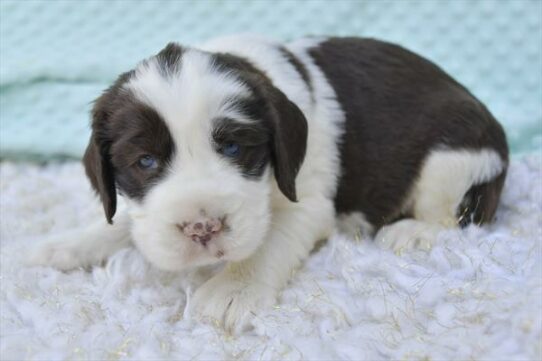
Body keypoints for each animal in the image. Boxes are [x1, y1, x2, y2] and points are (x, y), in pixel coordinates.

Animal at [28, 35, 510, 332]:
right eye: (144, 161)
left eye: (233, 148)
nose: (202, 229)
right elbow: (125, 221)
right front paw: (66, 245)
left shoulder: (305, 204)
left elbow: (267, 243)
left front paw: (230, 291)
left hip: (450, 158)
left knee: (457, 216)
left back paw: (413, 232)